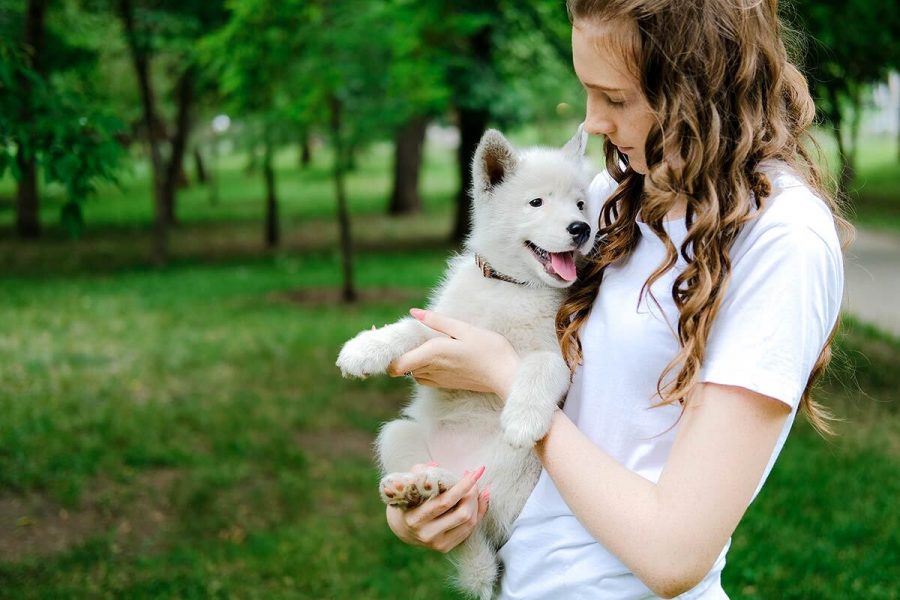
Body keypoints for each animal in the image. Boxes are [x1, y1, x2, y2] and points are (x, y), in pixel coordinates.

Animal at [334, 126, 596, 600]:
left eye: (581, 203)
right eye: (537, 202)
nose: (581, 229)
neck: (511, 288)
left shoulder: (560, 354)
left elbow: (540, 367)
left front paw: (523, 415)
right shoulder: (447, 328)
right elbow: (411, 328)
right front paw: (367, 347)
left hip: (518, 465)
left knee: (475, 507)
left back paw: (444, 483)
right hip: (396, 435)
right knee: (455, 506)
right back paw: (420, 489)